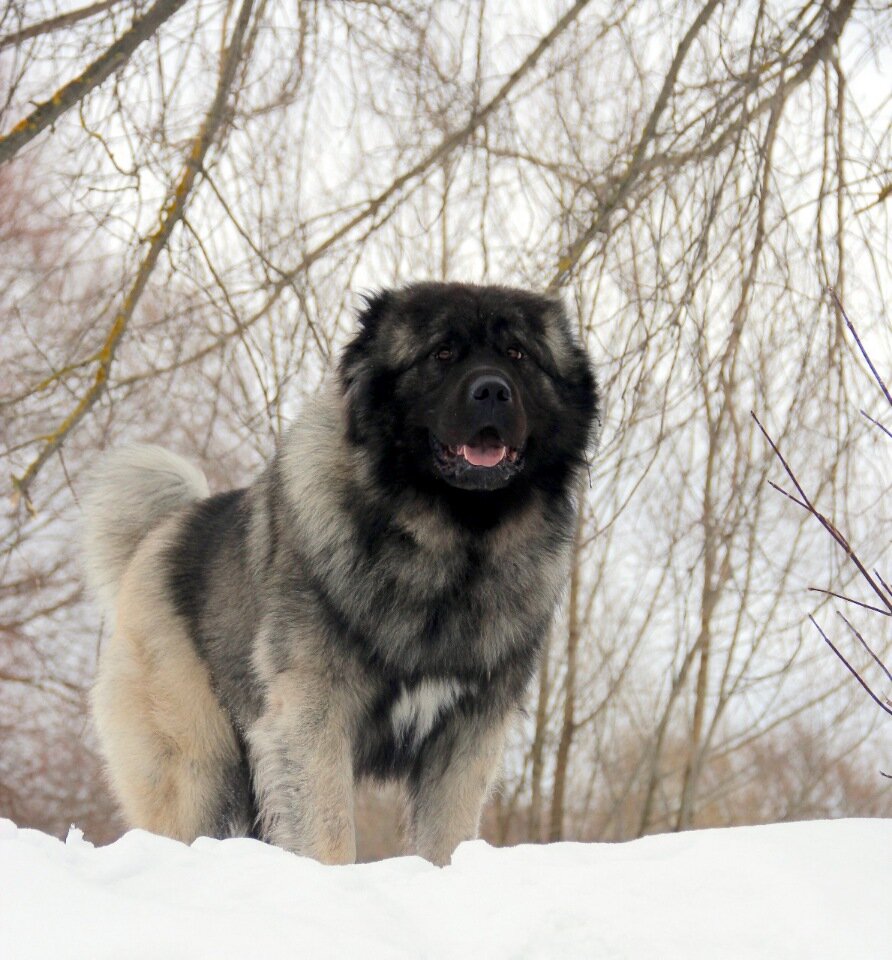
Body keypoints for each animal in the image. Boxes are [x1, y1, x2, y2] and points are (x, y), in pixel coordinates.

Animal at [83, 282, 600, 868]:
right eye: (442, 353)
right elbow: (329, 834)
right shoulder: (313, 718)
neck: (449, 548)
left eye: (518, 355)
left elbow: (444, 839)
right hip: (196, 764)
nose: (492, 391)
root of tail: (161, 533)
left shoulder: (467, 735)